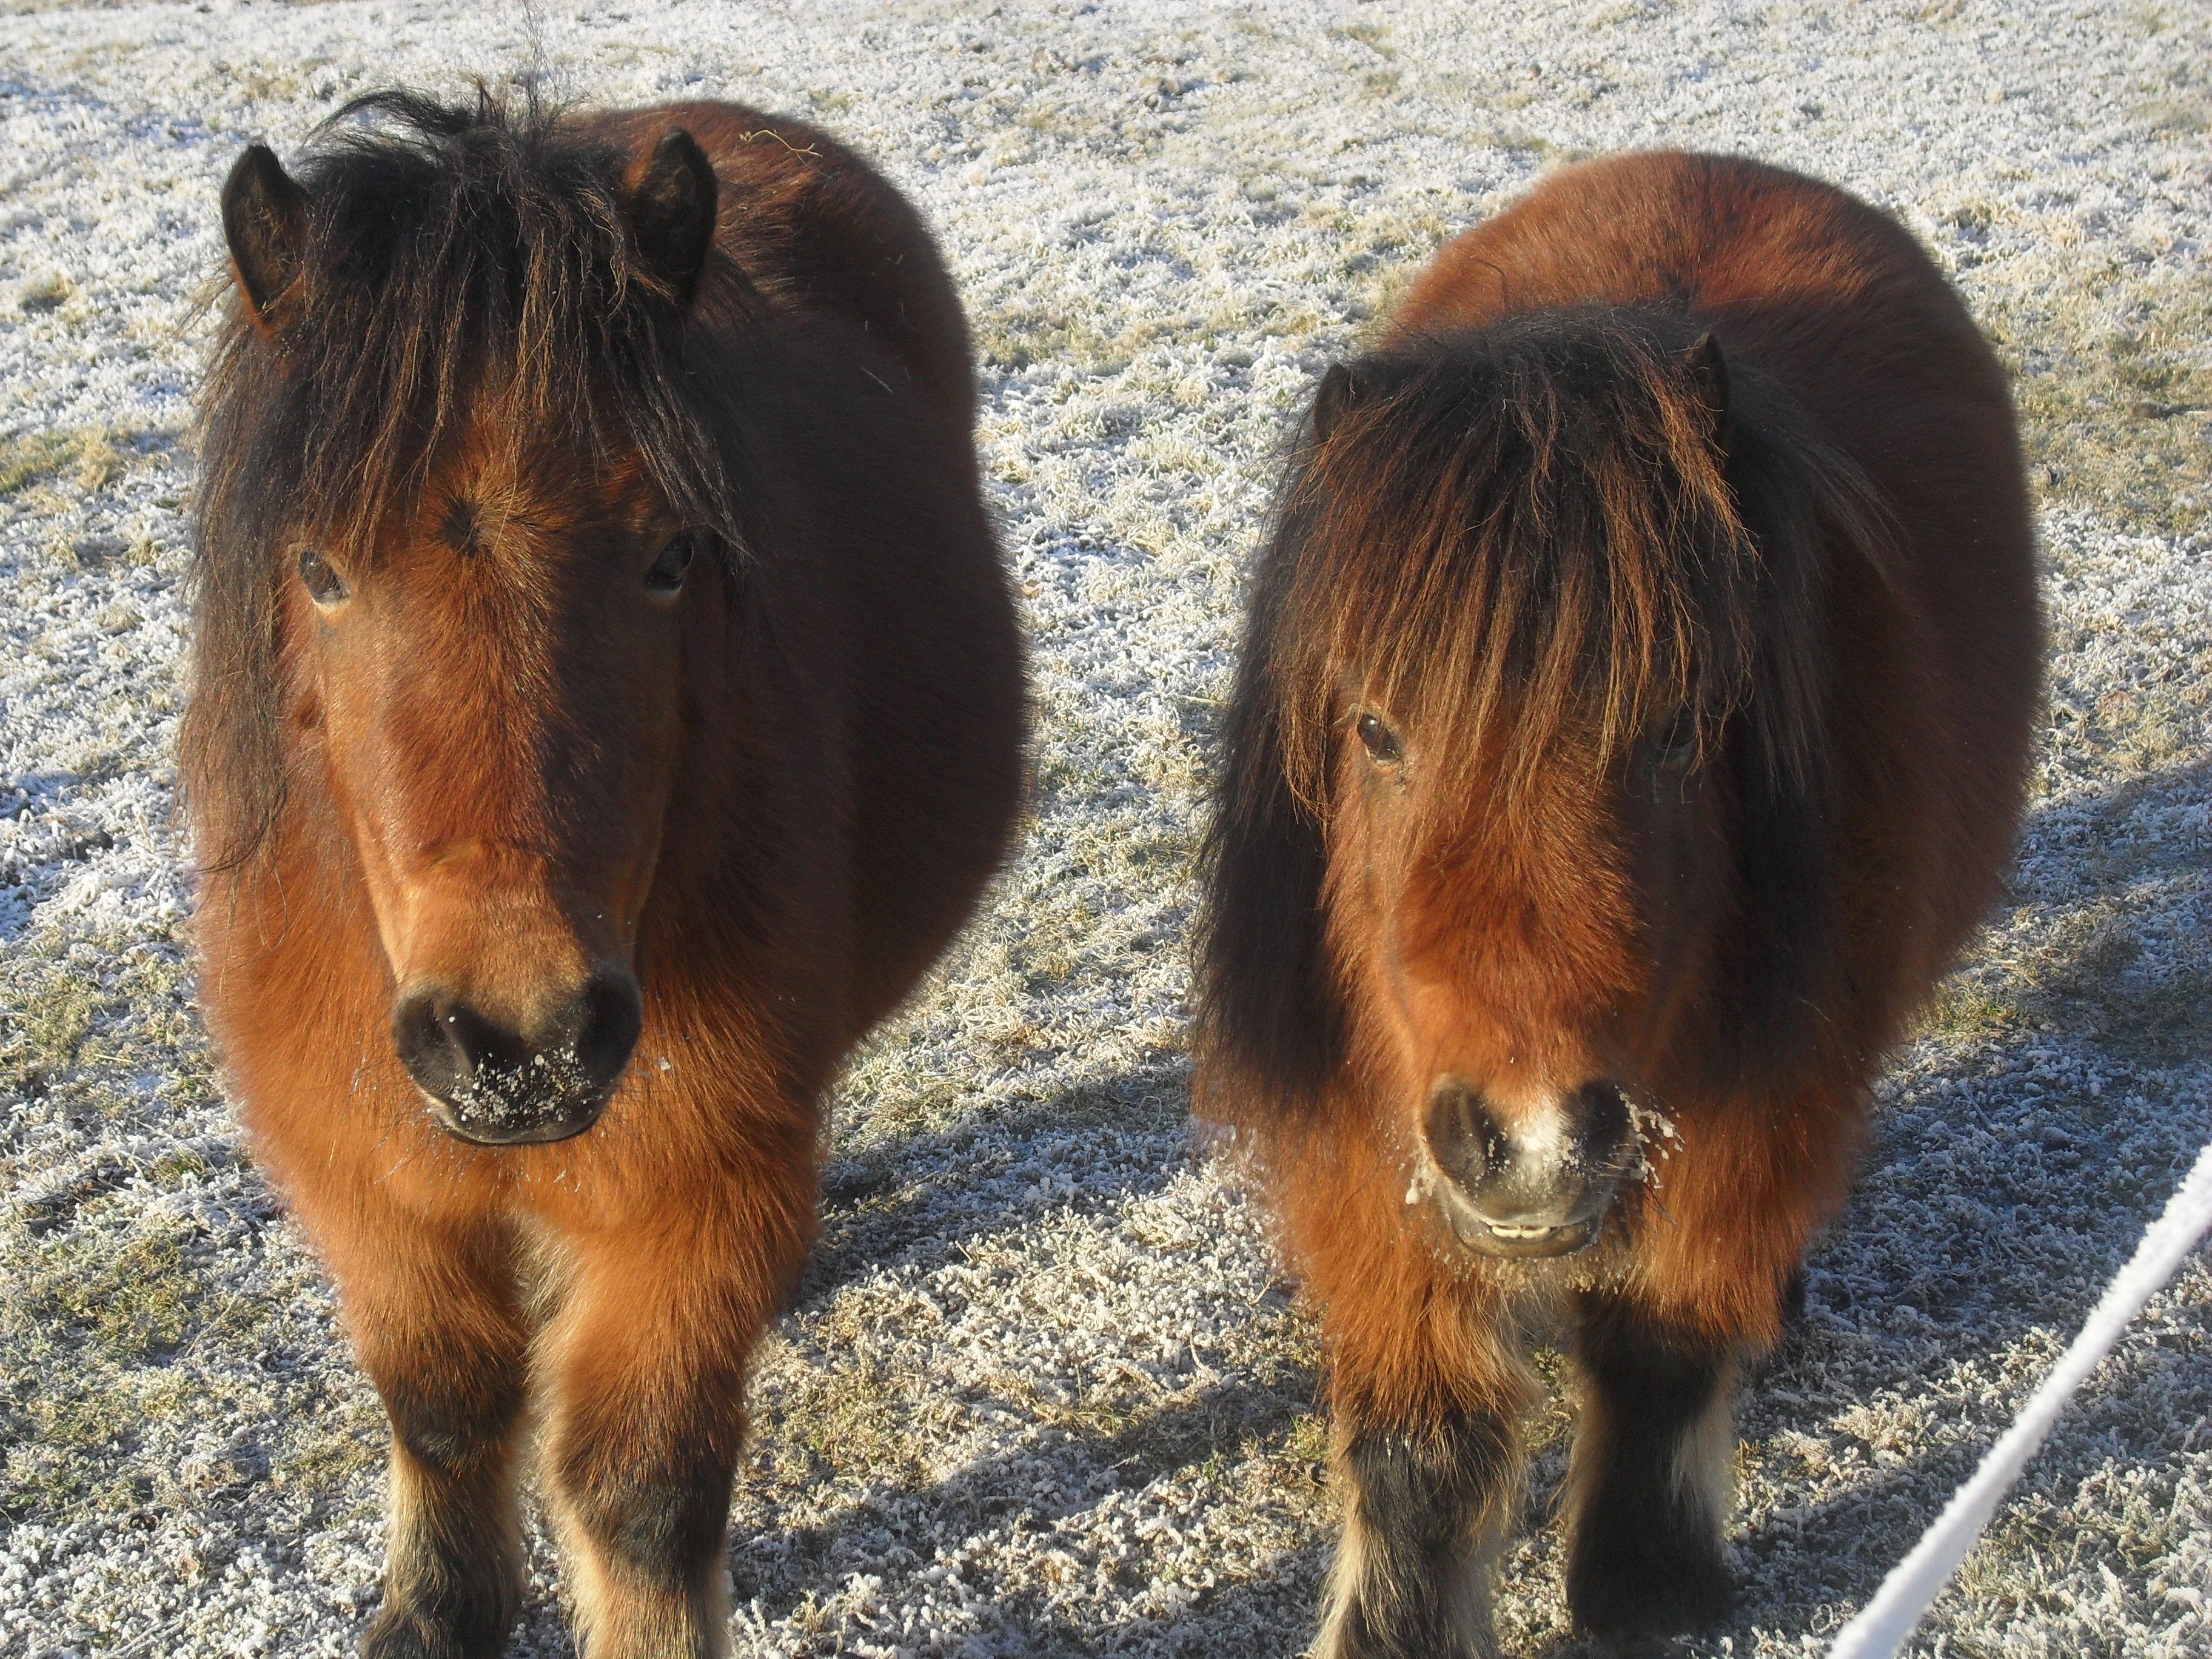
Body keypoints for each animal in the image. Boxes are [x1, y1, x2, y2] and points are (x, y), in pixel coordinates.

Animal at [183, 89, 1024, 1659]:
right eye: (320, 571)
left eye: (670, 556)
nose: (518, 1041)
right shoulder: (371, 1187)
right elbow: (446, 1409)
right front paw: (437, 1612)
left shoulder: (688, 1207)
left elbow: (638, 1490)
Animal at [1195, 150, 2041, 1656]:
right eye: (1375, 730)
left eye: (1681, 733)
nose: (1528, 1143)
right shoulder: (1373, 1129)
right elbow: (1423, 1447)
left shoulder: (1761, 1110)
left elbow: (1661, 1353)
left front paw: (1648, 1590)